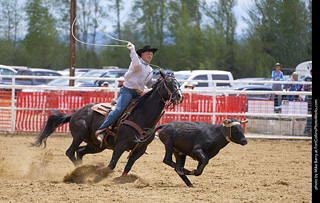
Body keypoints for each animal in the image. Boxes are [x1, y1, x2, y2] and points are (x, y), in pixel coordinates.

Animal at [32, 72, 184, 175]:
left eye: (178, 83)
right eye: (168, 83)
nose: (180, 96)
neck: (143, 115)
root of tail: (75, 113)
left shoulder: (140, 149)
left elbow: (128, 167)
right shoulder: (121, 144)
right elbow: (112, 165)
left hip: (96, 145)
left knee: (79, 151)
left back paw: (81, 169)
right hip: (79, 134)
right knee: (70, 152)